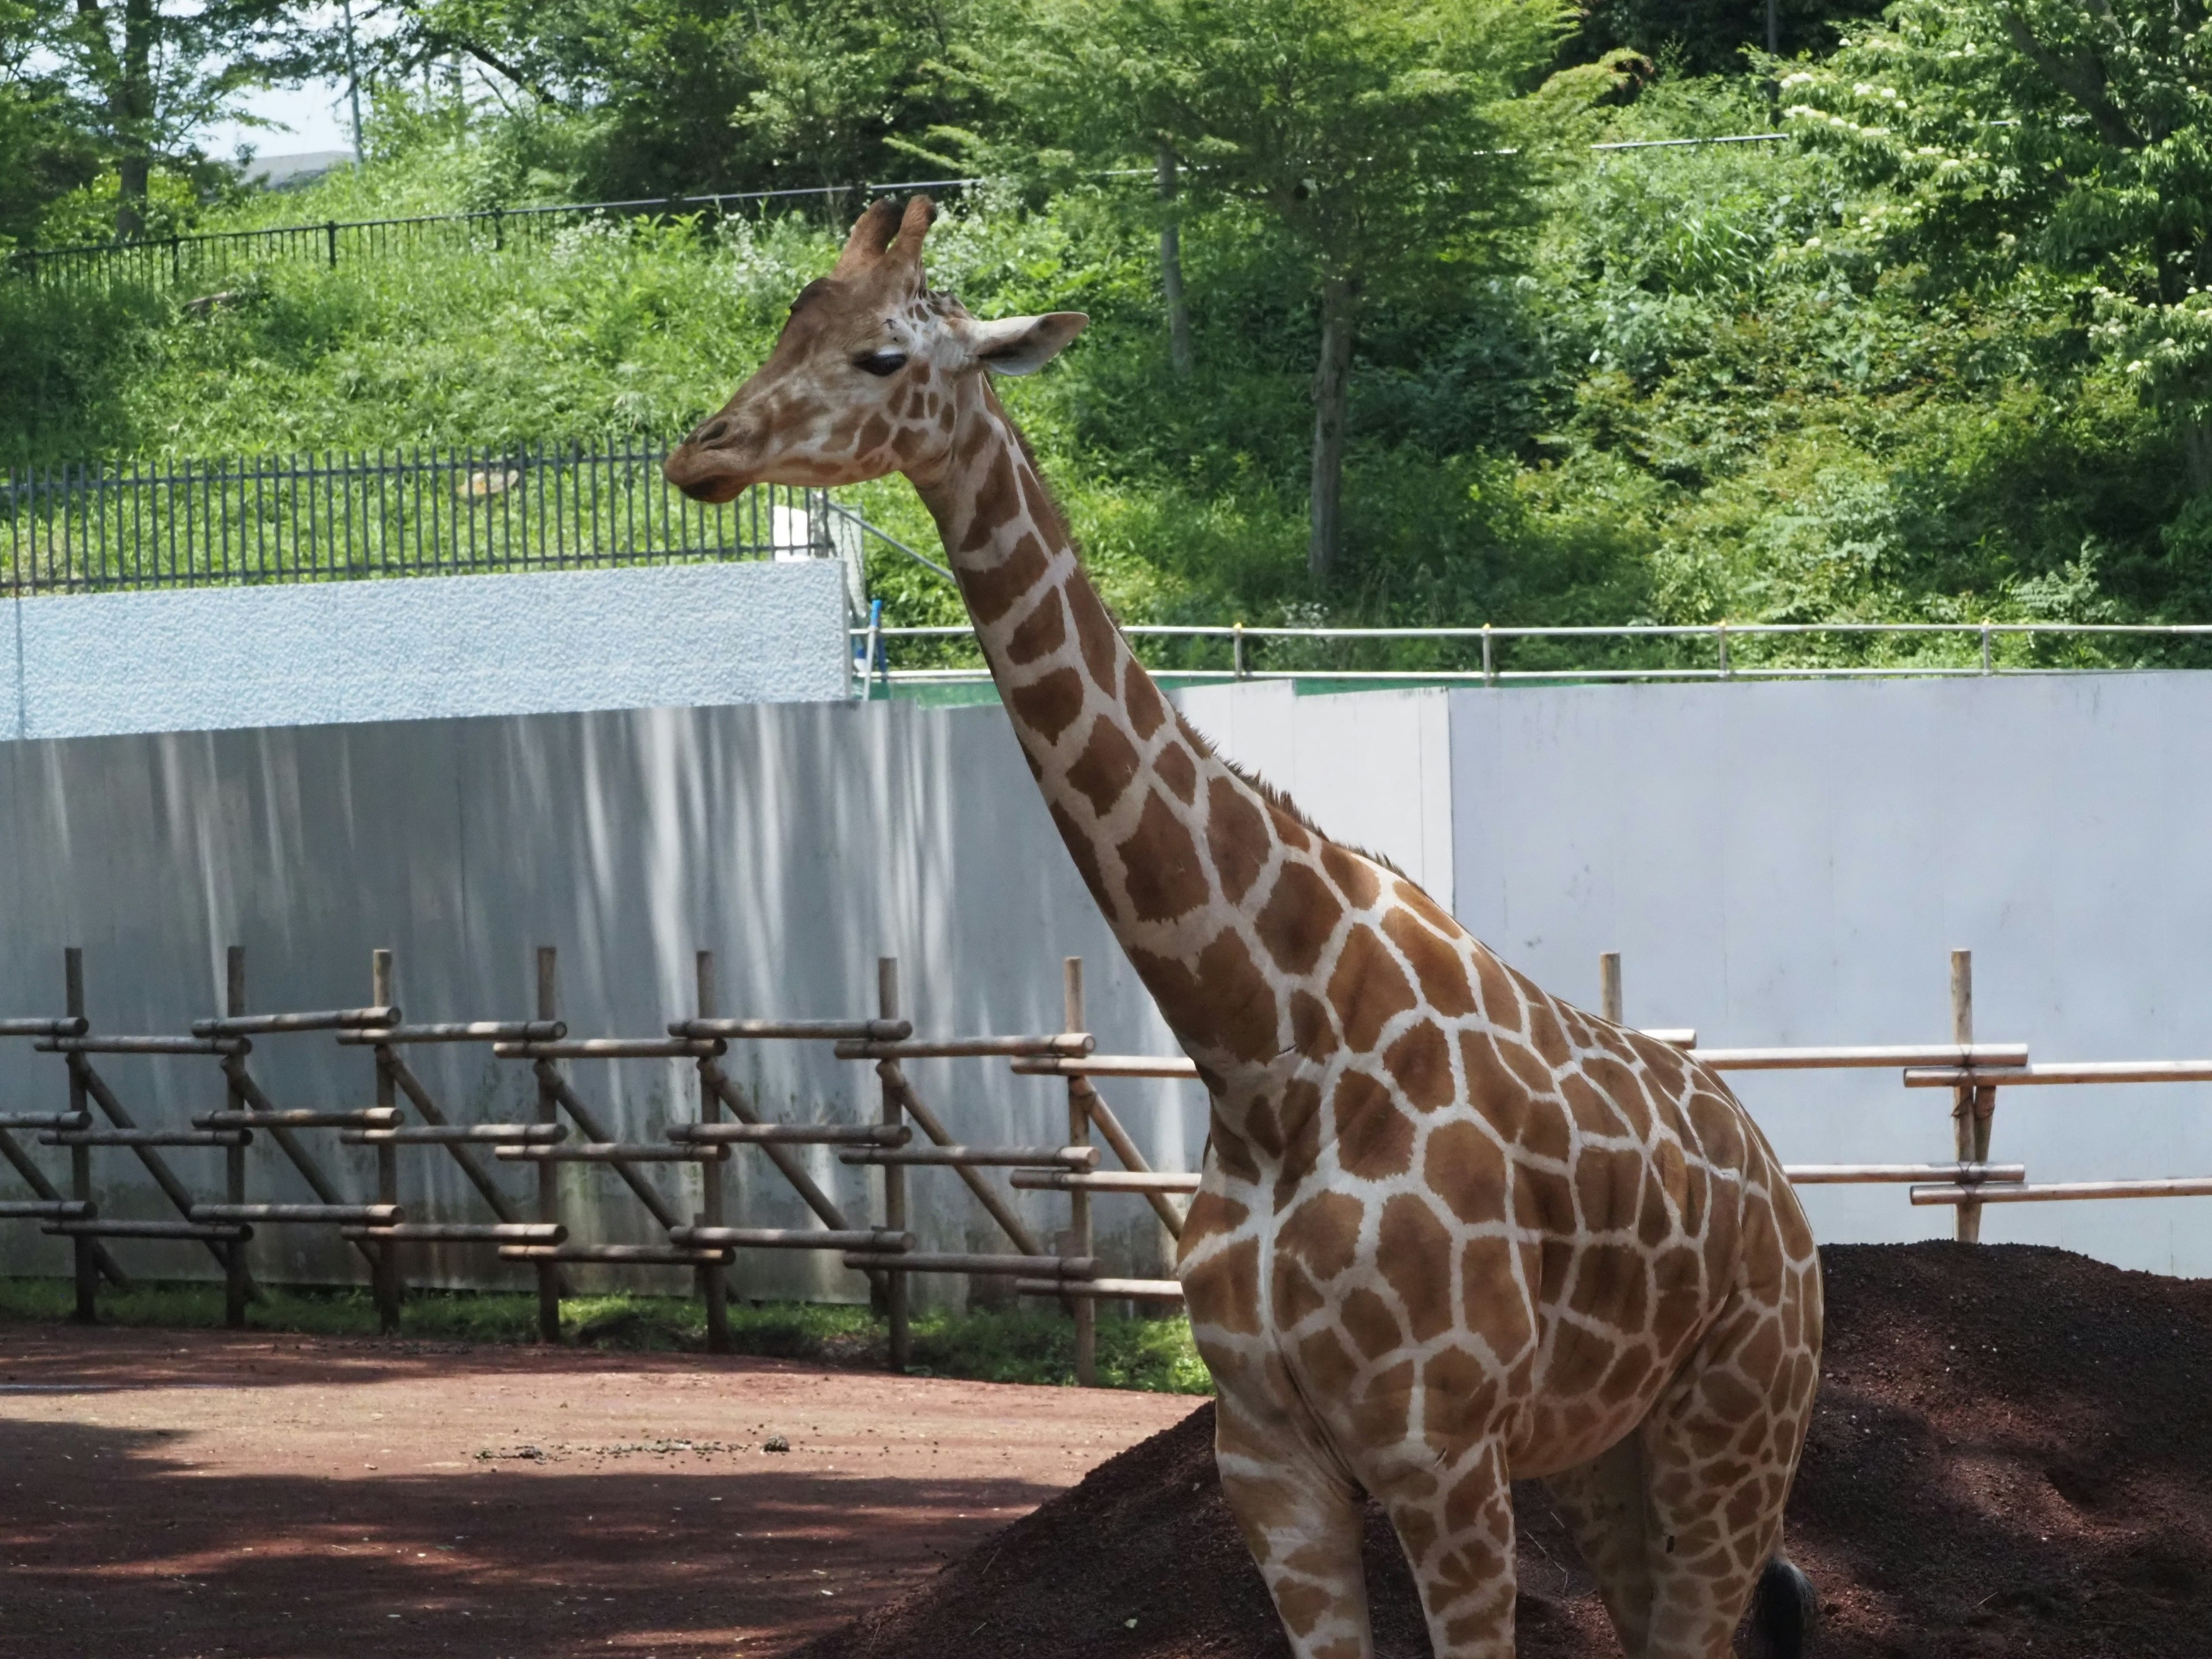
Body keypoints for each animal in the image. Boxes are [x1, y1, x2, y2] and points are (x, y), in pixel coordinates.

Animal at [664, 198, 1823, 1659]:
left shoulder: (1442, 1452)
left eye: (880, 355)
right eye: (785, 330)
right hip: (1608, 1454)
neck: (1267, 1052)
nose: (698, 451)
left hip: (1734, 1427)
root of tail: (1778, 1185)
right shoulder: (1266, 1453)